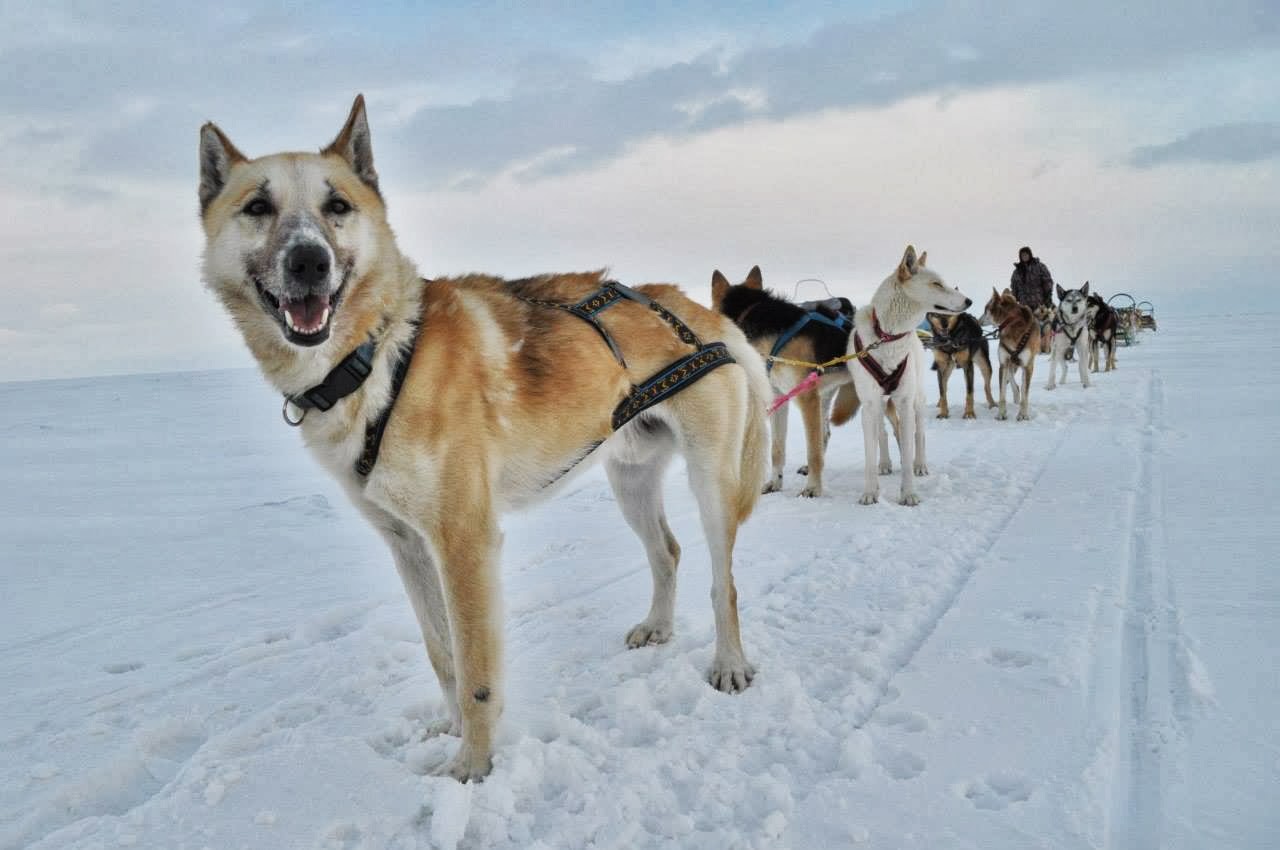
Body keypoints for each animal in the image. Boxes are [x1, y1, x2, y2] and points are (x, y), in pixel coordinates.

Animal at [197, 96, 768, 778]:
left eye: (338, 206)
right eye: (258, 207)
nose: (309, 260)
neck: (379, 354)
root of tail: (697, 310)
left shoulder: (463, 542)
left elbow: (475, 668)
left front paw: (471, 766)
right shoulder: (408, 545)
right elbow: (442, 655)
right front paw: (450, 732)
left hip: (711, 483)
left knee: (722, 580)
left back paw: (730, 663)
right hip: (630, 482)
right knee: (668, 552)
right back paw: (657, 626)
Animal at [829, 249, 967, 506]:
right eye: (936, 284)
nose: (969, 301)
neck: (887, 336)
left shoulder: (904, 401)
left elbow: (909, 439)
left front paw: (909, 493)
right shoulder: (869, 404)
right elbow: (871, 451)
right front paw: (870, 491)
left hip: (916, 400)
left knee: (918, 433)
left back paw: (918, 464)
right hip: (881, 404)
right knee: (884, 434)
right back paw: (885, 463)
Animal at [977, 290, 1039, 419]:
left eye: (986, 309)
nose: (978, 321)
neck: (1011, 322)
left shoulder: (1028, 366)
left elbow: (1025, 394)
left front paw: (1023, 415)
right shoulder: (1004, 363)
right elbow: (1002, 394)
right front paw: (1001, 414)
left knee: (1021, 386)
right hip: (1010, 364)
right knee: (1013, 382)